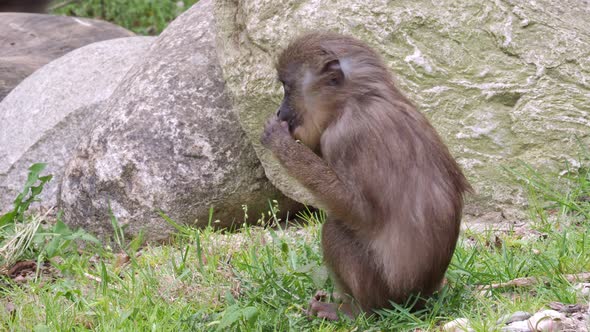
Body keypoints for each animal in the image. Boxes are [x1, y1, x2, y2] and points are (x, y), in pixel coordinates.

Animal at [262, 32, 474, 320]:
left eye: (286, 87)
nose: (278, 112)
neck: (356, 98)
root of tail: (422, 297)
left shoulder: (346, 135)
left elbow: (359, 211)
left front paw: (280, 143)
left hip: (384, 291)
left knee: (334, 229)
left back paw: (355, 311)